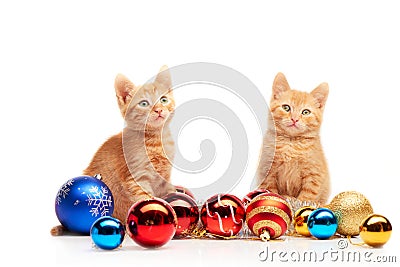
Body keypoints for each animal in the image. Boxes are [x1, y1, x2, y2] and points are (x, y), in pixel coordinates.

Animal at [50, 66, 175, 237]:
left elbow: (167, 193)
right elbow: (148, 199)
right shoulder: (135, 178)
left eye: (163, 100)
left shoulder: (164, 178)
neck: (155, 141)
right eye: (144, 103)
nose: (159, 110)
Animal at [256, 72, 332, 204]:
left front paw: (302, 205)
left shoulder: (314, 176)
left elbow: (307, 196)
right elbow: (271, 191)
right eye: (286, 107)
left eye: (305, 112)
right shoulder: (266, 170)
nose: (294, 119)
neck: (291, 144)